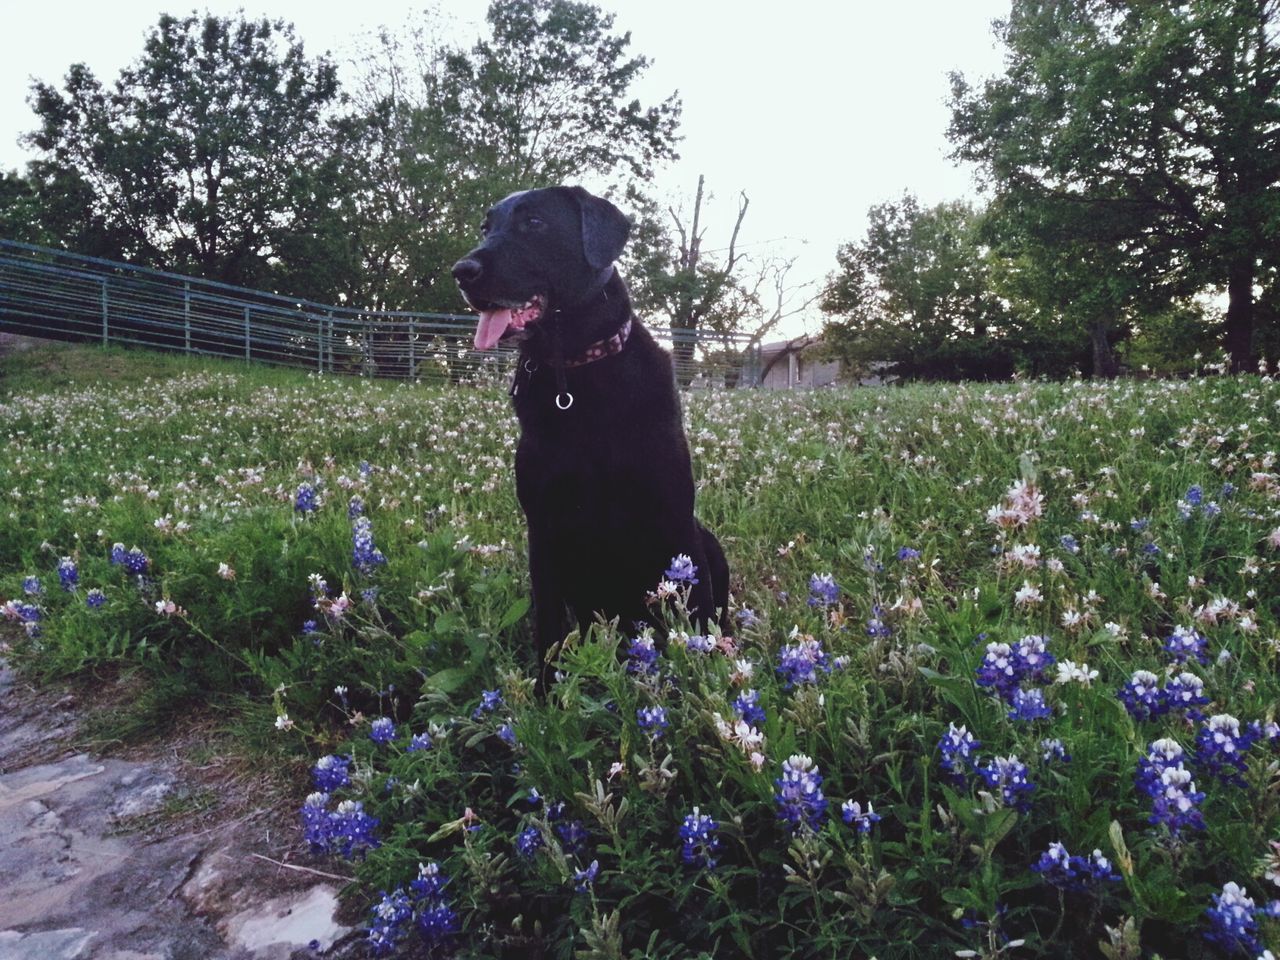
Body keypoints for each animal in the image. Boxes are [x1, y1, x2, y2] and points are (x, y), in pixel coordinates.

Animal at [453, 184, 732, 686]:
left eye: (534, 223)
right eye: (487, 227)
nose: (462, 272)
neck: (576, 370)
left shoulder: (675, 512)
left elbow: (698, 612)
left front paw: (705, 677)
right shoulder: (543, 526)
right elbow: (548, 630)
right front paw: (546, 696)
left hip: (706, 541)